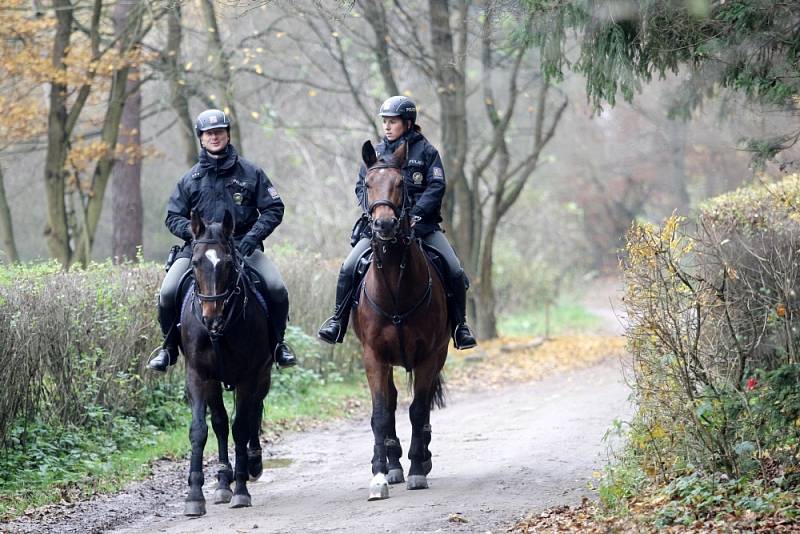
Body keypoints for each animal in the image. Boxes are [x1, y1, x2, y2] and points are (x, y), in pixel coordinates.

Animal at [180, 211, 274, 516]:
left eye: (229, 263)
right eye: (196, 262)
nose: (211, 317)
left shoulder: (249, 376)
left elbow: (241, 427)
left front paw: (242, 490)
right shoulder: (199, 376)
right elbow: (201, 429)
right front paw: (195, 496)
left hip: (263, 375)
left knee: (253, 412)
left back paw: (253, 463)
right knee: (221, 422)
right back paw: (223, 481)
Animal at [350, 140, 450, 500]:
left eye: (401, 183)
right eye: (367, 184)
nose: (383, 226)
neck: (395, 283)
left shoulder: (429, 355)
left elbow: (418, 409)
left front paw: (418, 468)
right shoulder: (373, 356)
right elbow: (381, 414)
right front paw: (379, 476)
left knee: (421, 406)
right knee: (390, 404)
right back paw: (391, 464)